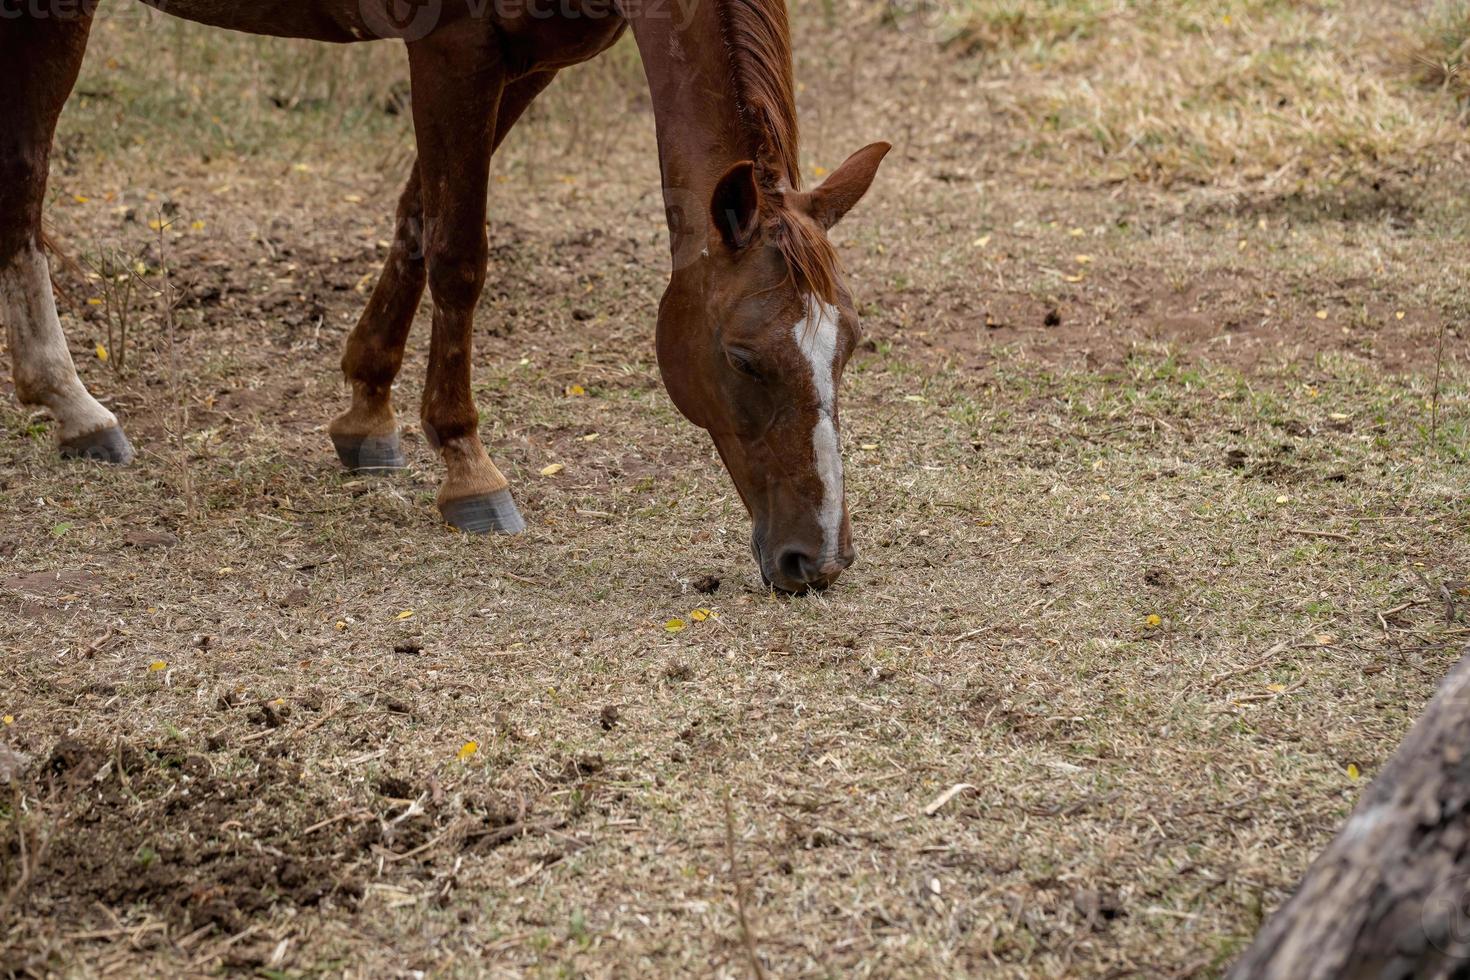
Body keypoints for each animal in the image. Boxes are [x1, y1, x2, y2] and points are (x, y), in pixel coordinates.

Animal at [0, 0, 882, 590]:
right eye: (742, 357)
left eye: (850, 345)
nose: (817, 559)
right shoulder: (453, 51)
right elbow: (460, 254)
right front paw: (467, 465)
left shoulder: (524, 64)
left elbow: (417, 219)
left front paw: (367, 409)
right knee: (23, 185)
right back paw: (74, 406)